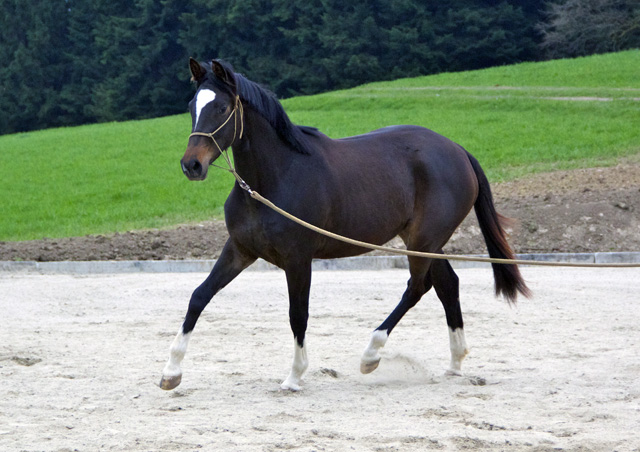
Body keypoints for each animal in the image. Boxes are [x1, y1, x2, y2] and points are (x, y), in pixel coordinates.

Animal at [160, 59, 528, 392]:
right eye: (192, 106)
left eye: (221, 107)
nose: (191, 165)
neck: (273, 180)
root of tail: (458, 151)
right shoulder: (240, 250)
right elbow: (199, 296)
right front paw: (171, 373)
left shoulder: (298, 259)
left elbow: (298, 314)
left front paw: (294, 377)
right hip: (426, 242)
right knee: (447, 285)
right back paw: (454, 363)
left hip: (425, 240)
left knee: (417, 287)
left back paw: (371, 355)